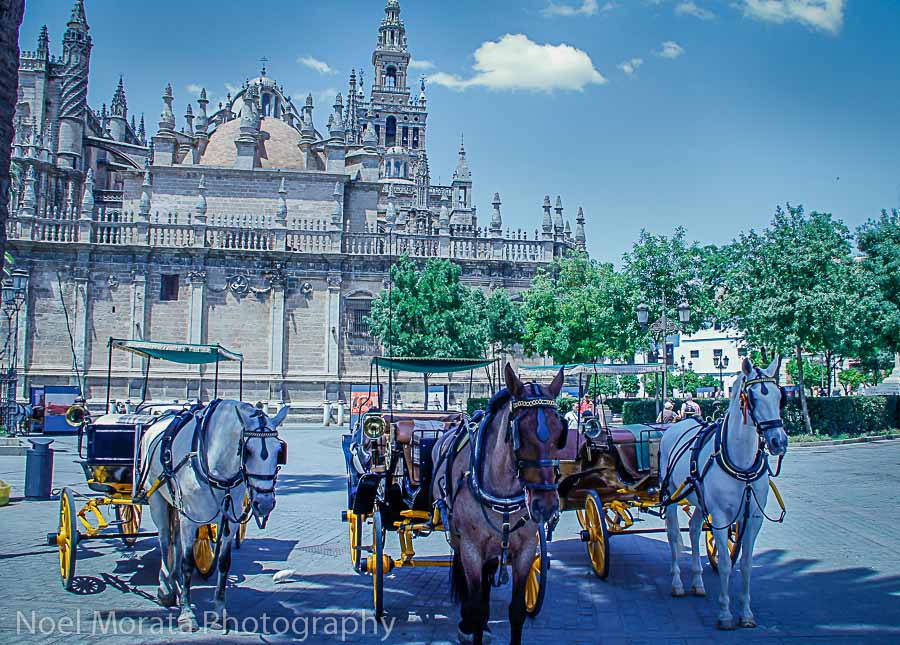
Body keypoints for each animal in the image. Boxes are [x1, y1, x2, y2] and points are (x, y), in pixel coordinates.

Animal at [142, 398, 286, 628]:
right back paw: (166, 588)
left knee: (174, 539)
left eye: (280, 451)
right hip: (156, 498)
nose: (264, 503)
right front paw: (187, 613)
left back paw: (174, 582)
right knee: (164, 539)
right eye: (247, 451)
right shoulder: (190, 517)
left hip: (175, 505)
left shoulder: (230, 520)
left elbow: (224, 562)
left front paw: (219, 610)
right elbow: (188, 563)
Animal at [432, 364, 568, 640]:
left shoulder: (526, 549)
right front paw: (470, 625)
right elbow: (476, 606)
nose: (546, 505)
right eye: (519, 433)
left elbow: (516, 611)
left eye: (561, 433)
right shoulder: (471, 547)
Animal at [660, 354, 788, 628]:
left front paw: (747, 614)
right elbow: (728, 564)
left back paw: (697, 582)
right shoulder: (719, 517)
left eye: (780, 396)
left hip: (698, 500)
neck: (741, 463)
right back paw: (677, 583)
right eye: (753, 398)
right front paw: (725, 613)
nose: (778, 442)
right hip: (671, 496)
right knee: (673, 536)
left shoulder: (753, 517)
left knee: (694, 530)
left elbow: (746, 564)